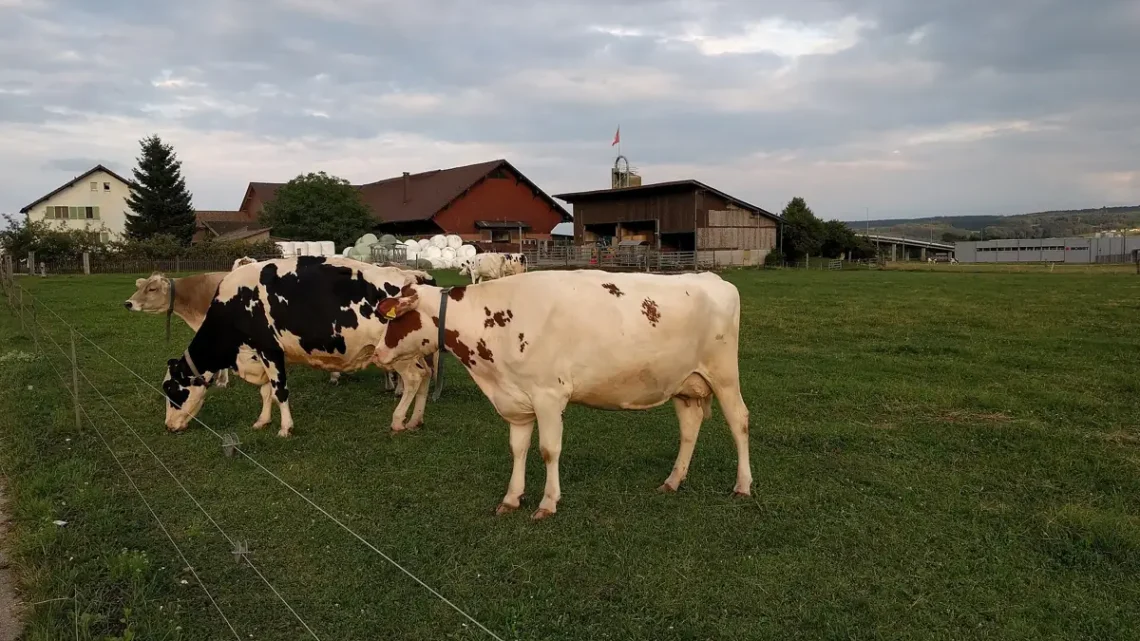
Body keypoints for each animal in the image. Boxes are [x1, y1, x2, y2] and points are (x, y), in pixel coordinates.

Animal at [160, 257, 437, 436]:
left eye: (172, 390)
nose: (168, 425)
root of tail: (411, 277)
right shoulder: (261, 354)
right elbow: (266, 391)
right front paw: (262, 421)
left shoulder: (269, 350)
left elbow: (280, 391)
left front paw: (285, 428)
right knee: (426, 374)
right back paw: (417, 420)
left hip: (398, 354)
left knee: (414, 378)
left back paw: (399, 420)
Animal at [371, 269, 752, 520]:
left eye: (394, 319)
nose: (376, 352)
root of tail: (711, 277)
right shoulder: (516, 399)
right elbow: (518, 449)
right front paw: (512, 498)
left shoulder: (549, 395)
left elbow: (548, 450)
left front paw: (547, 503)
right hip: (684, 385)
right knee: (689, 429)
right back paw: (672, 481)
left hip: (724, 376)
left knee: (739, 422)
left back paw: (742, 486)